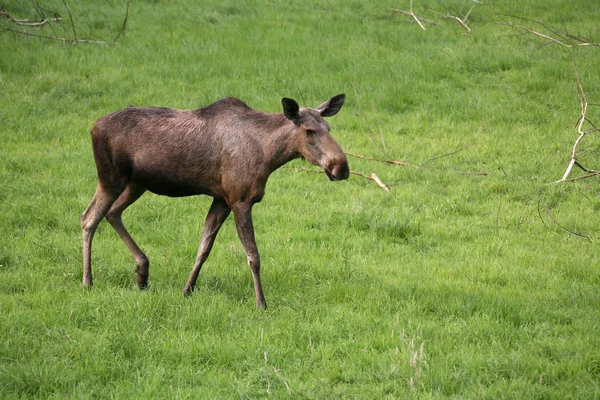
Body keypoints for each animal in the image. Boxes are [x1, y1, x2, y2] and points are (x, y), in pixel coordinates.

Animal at [82, 94, 350, 310]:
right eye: (309, 131)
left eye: (328, 127)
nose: (342, 167)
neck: (269, 156)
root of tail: (93, 126)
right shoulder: (240, 199)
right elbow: (253, 256)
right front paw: (261, 302)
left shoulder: (221, 198)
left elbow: (204, 248)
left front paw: (187, 289)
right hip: (110, 177)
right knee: (89, 218)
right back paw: (88, 281)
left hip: (136, 183)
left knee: (112, 213)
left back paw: (142, 272)